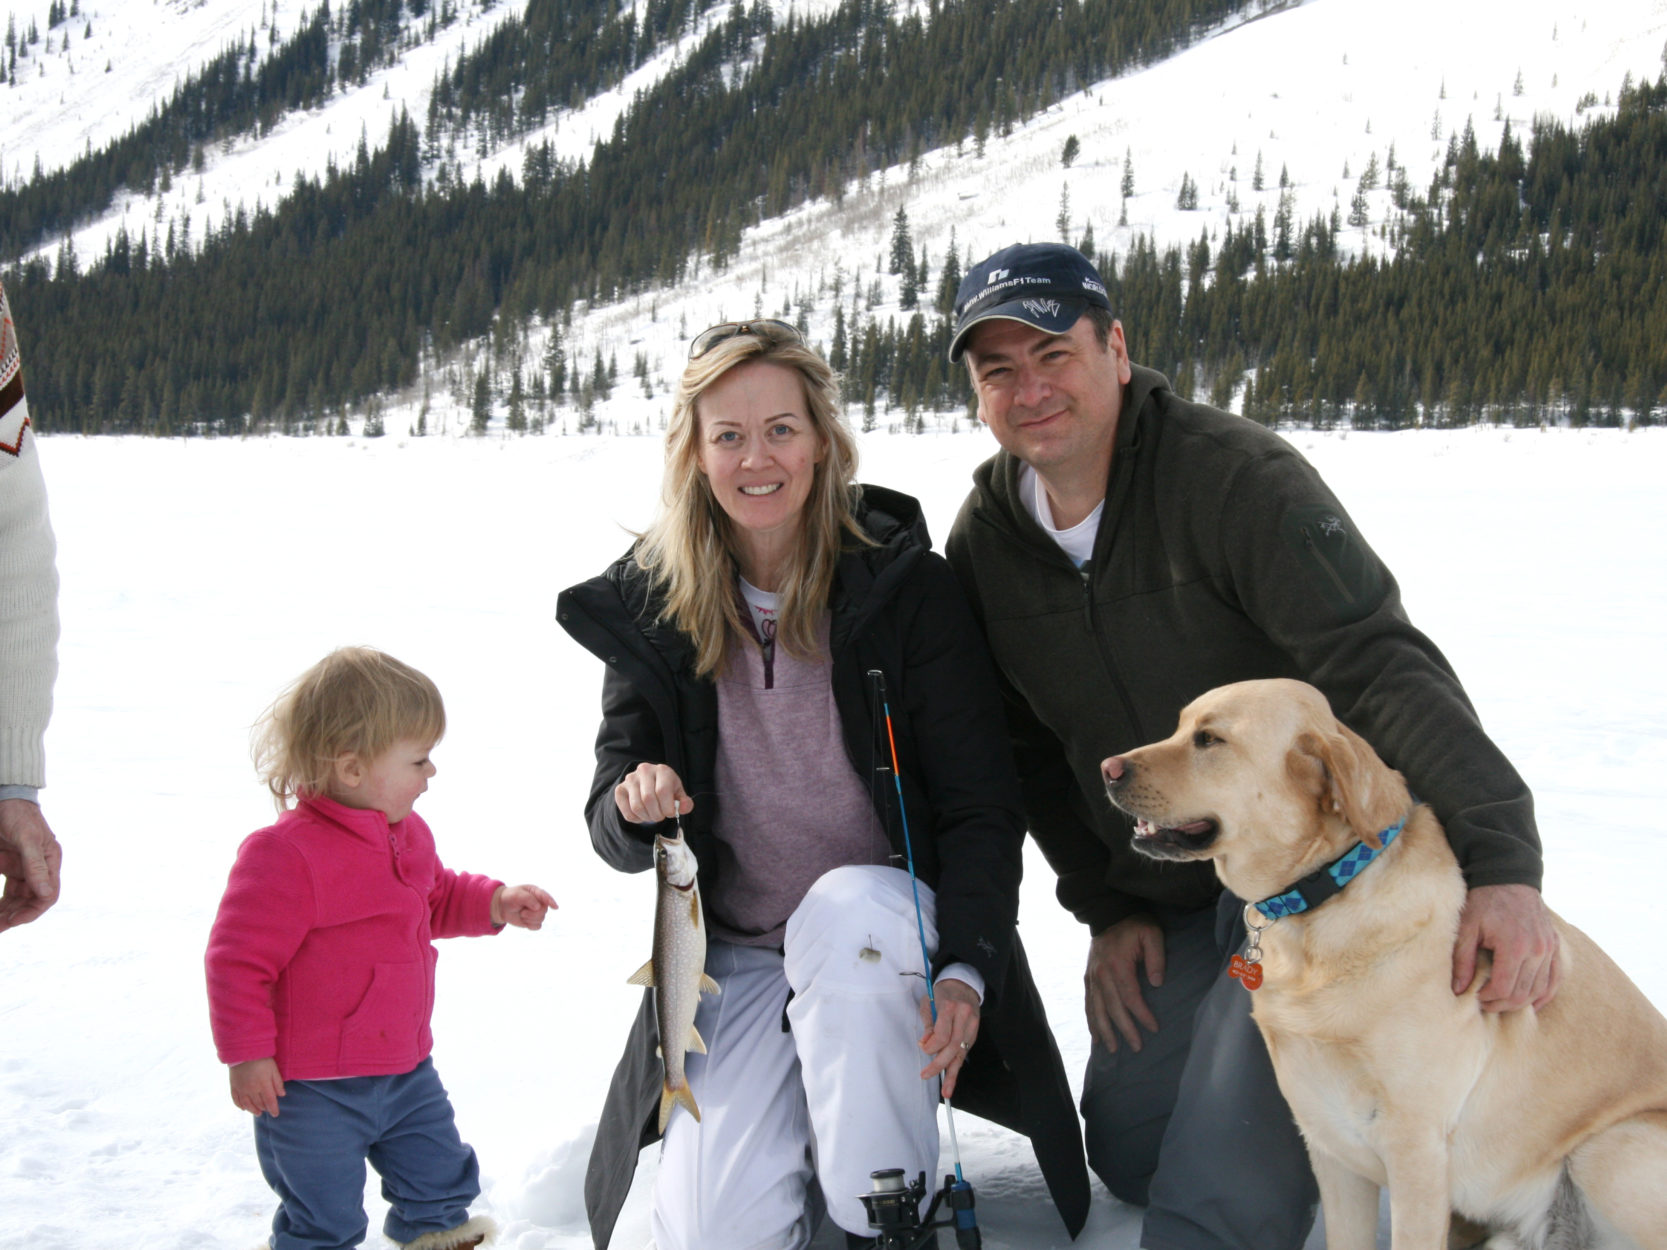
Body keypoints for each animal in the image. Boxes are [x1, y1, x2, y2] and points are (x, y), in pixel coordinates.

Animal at [1100, 686, 1660, 1250]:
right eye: (1179, 727)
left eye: (1210, 739)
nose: (1108, 768)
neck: (1324, 897)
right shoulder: (1329, 1142)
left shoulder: (1416, 1148)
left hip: (1609, 1152)